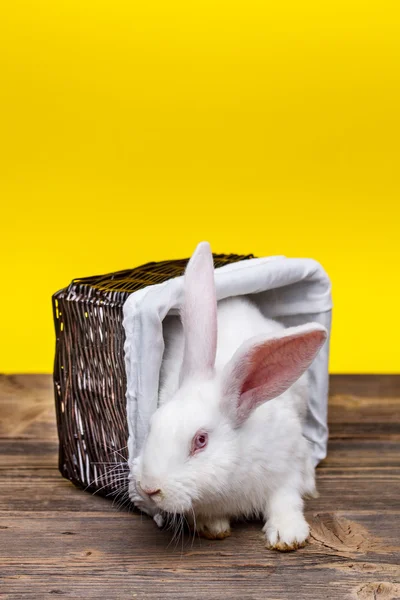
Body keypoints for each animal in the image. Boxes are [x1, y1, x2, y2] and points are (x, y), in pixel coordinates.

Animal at [130, 241, 326, 552]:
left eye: (201, 441)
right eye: (152, 425)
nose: (149, 488)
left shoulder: (288, 470)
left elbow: (285, 501)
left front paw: (288, 536)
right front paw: (213, 527)